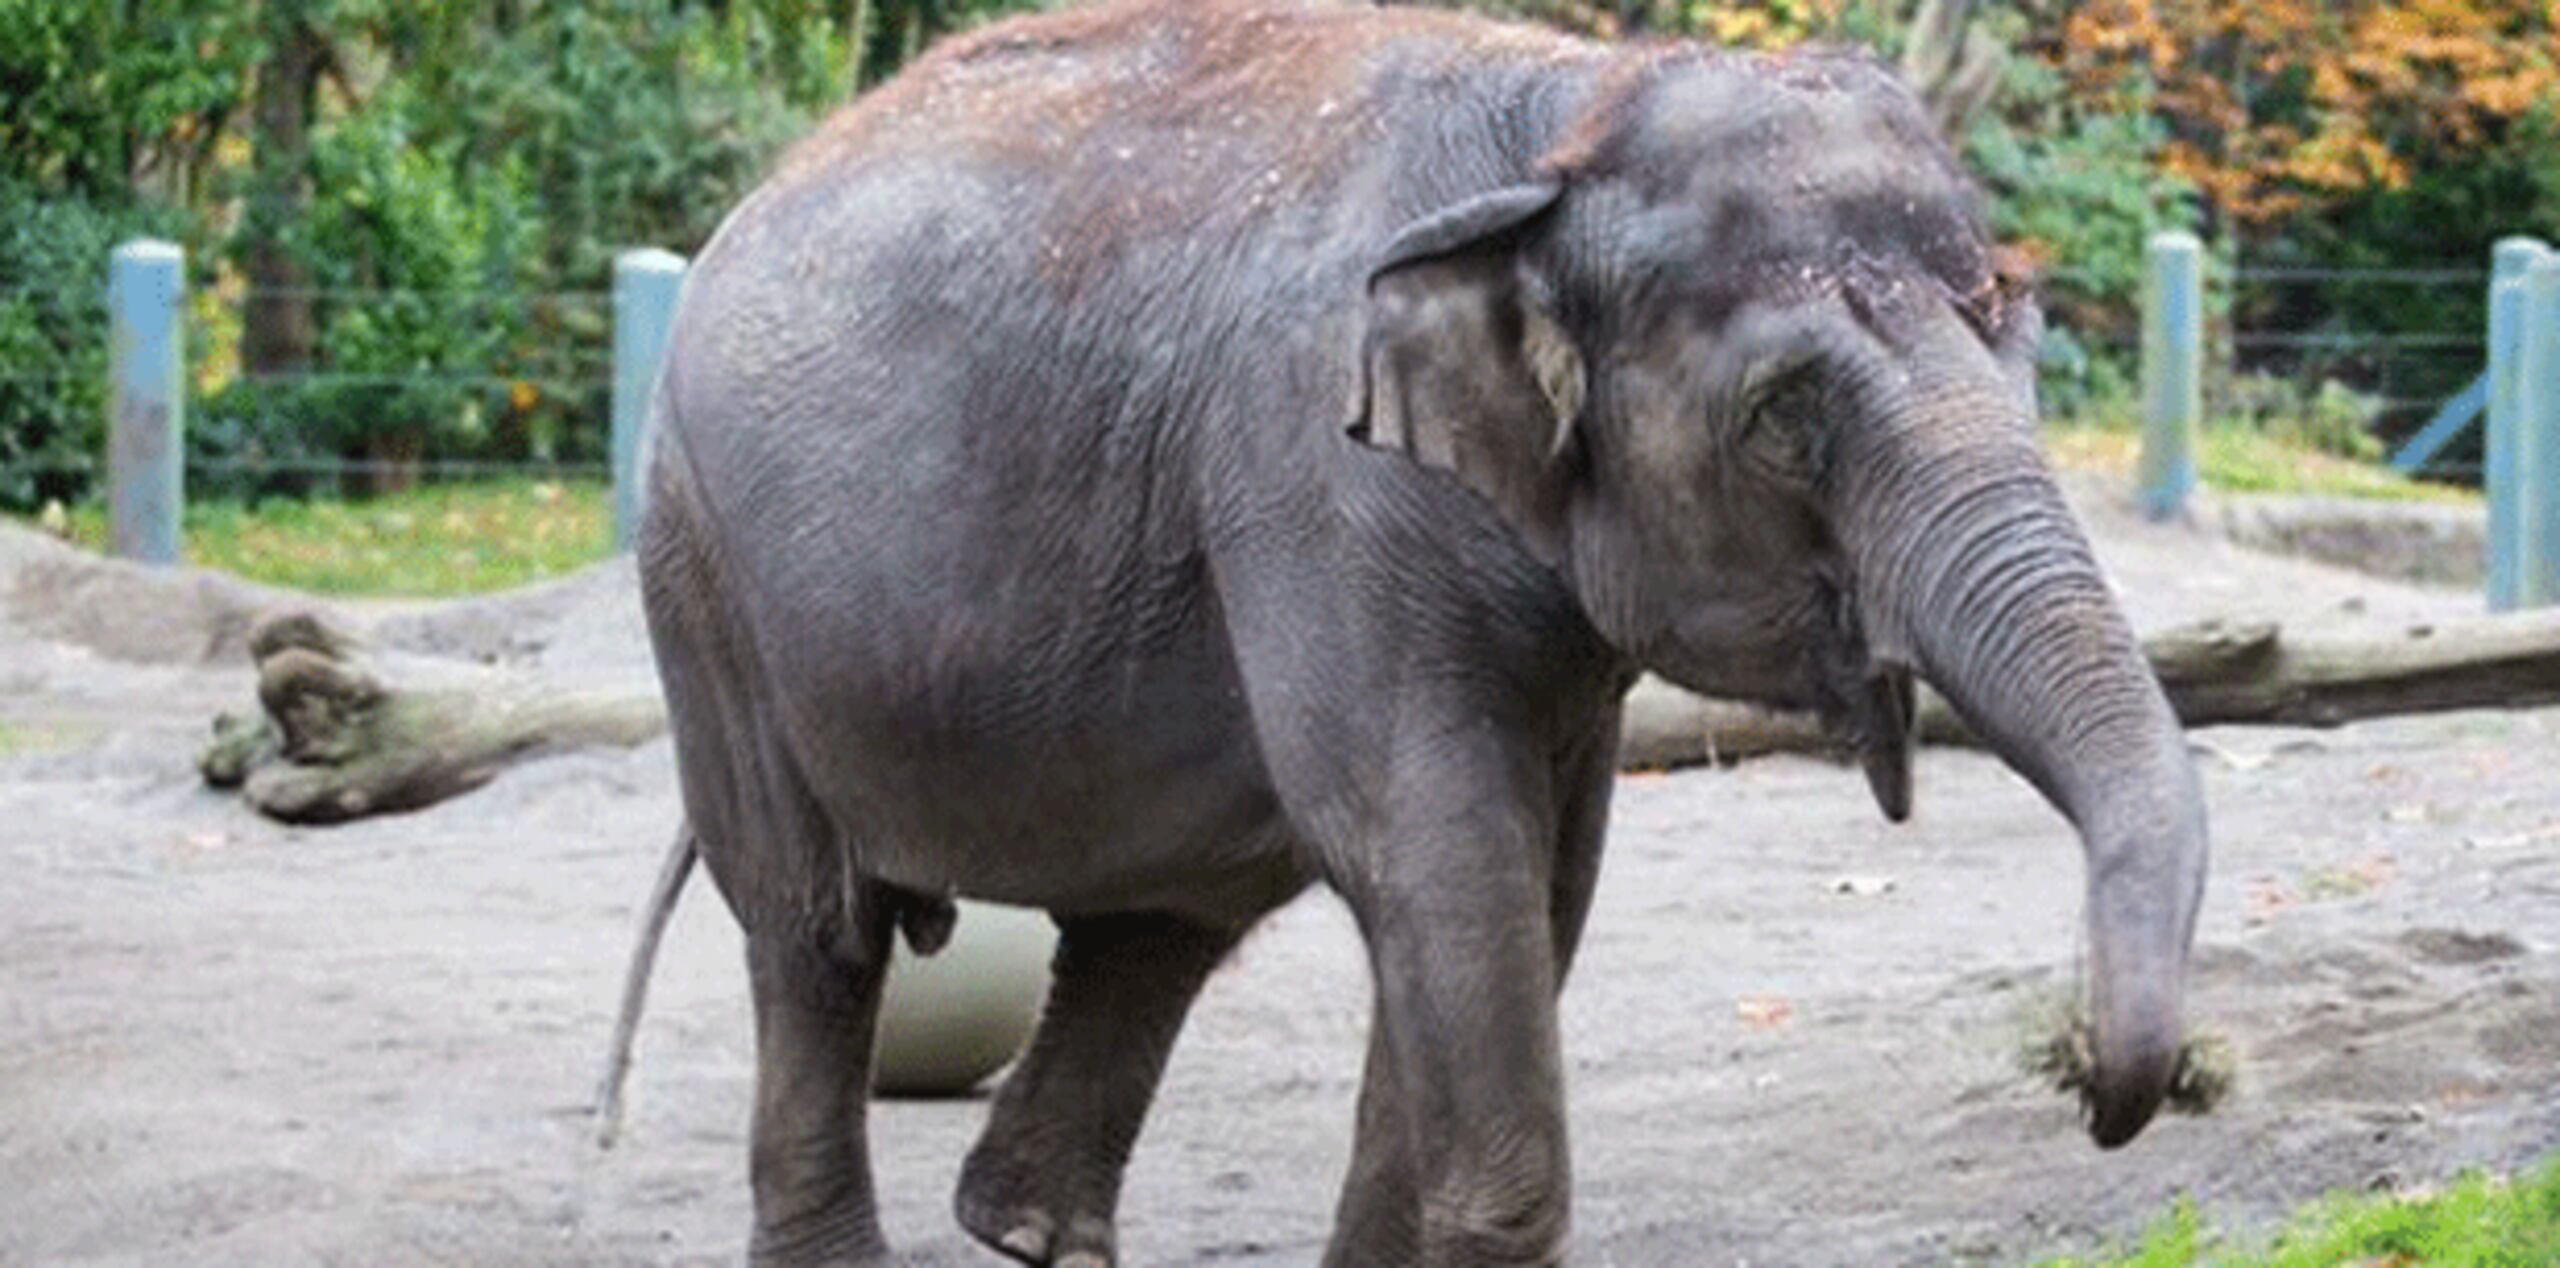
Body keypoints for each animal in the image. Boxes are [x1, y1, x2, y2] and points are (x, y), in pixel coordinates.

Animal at [629, 2, 2211, 1268]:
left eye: (2012, 326)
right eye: (1783, 412)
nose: (2098, 1083)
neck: (1567, 117)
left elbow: (1528, 882)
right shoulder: (1315, 484)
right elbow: (1437, 849)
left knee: (1164, 915)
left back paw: (1024, 1228)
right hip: (701, 571)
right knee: (816, 933)